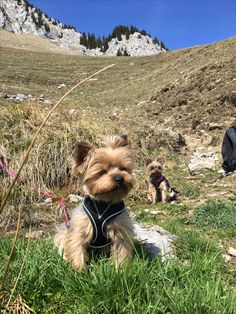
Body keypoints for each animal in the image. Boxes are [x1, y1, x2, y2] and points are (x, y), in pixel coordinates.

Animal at [54, 134, 135, 272]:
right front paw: (79, 270)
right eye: (102, 172)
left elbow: (121, 250)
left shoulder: (121, 231)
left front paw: (120, 269)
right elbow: (77, 249)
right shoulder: (79, 230)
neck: (103, 204)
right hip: (64, 233)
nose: (120, 178)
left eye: (123, 168)